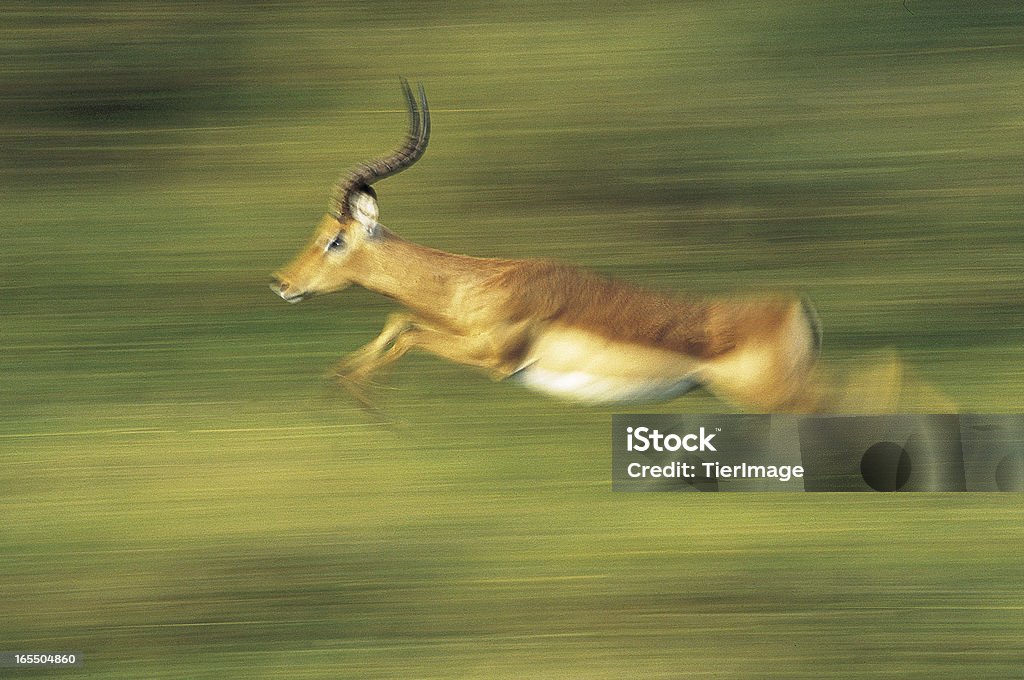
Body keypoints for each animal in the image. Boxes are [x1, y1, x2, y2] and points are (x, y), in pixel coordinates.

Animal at [270, 79, 823, 409]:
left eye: (335, 240)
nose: (281, 283)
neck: (481, 282)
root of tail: (796, 308)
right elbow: (399, 318)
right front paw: (340, 380)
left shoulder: (494, 359)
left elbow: (408, 330)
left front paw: (365, 401)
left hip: (777, 396)